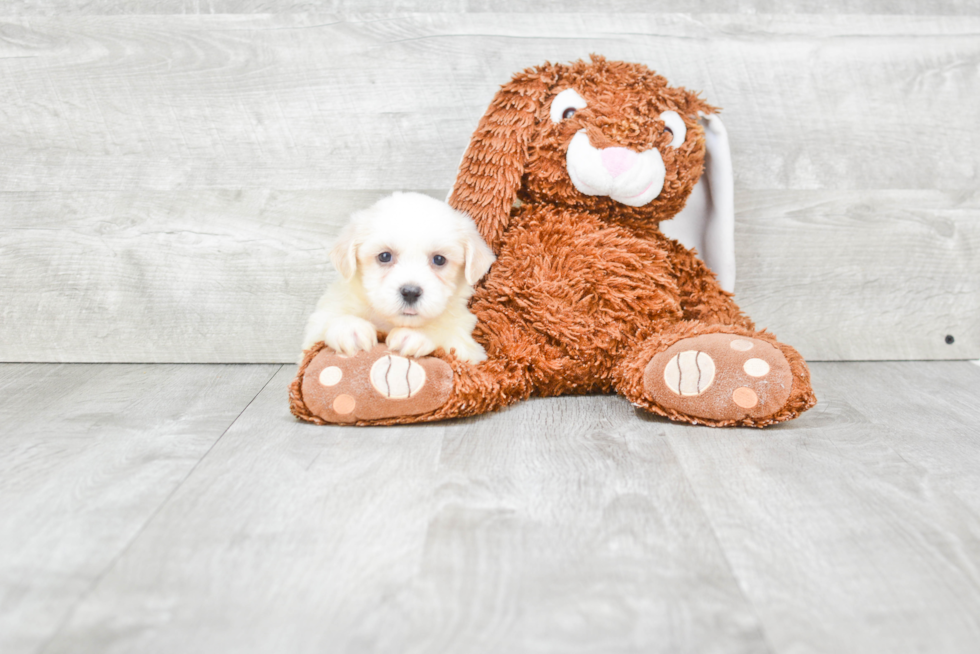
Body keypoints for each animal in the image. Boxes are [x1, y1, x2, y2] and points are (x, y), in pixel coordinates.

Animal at [300, 192, 498, 366]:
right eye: (385, 256)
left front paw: (417, 335)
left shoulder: (471, 349)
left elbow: (450, 337)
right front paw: (349, 328)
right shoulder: (315, 332)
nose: (410, 292)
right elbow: (326, 323)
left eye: (439, 259)